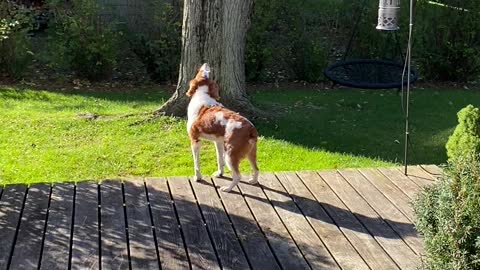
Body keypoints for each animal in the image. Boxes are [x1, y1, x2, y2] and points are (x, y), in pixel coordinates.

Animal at [186, 63, 258, 192]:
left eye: (204, 72)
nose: (206, 63)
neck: (202, 94)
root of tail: (250, 128)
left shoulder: (195, 141)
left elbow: (196, 162)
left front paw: (197, 177)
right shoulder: (218, 142)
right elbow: (219, 159)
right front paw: (220, 173)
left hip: (230, 154)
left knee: (237, 176)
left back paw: (227, 189)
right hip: (250, 152)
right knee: (256, 169)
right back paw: (253, 181)